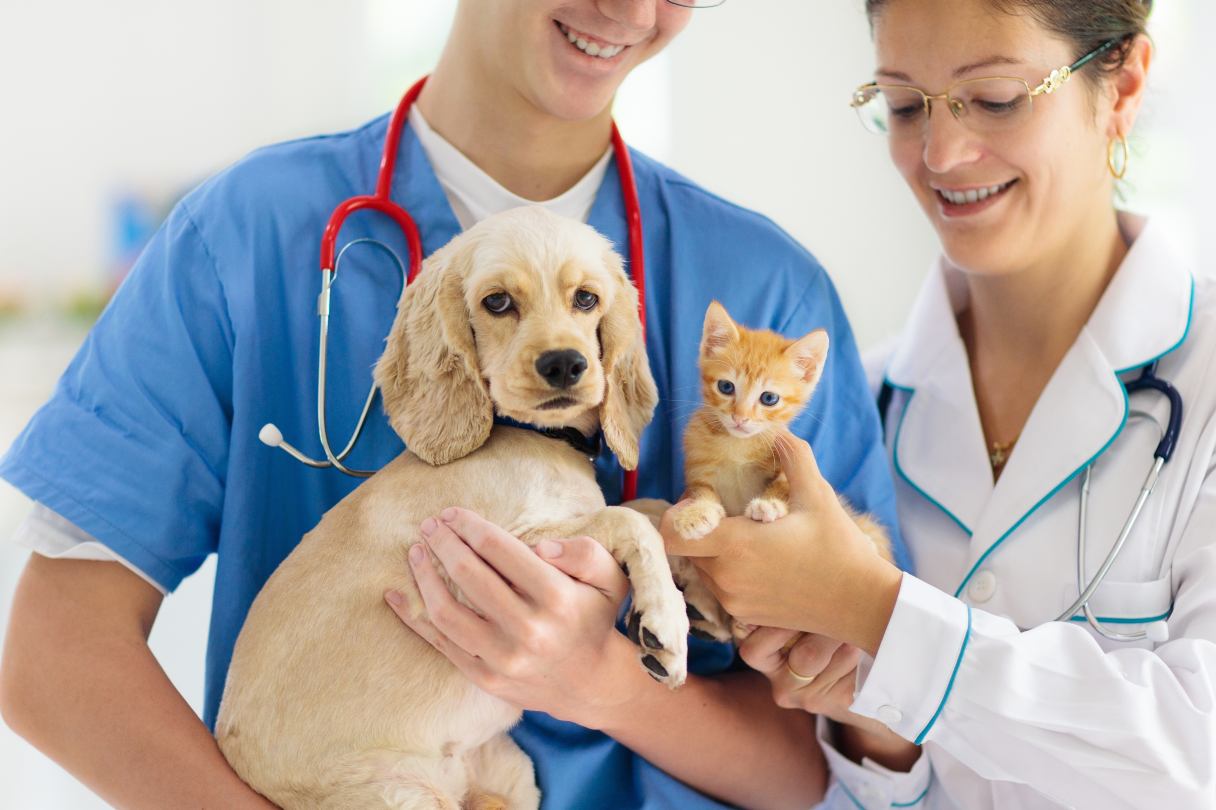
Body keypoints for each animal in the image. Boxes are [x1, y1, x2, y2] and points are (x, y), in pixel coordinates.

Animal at [214, 207, 700, 807]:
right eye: (498, 302)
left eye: (586, 299)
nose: (565, 364)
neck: (537, 439)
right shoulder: (497, 551)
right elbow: (626, 516)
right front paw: (666, 622)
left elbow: (652, 507)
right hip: (398, 794)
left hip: (511, 776)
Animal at [671, 297, 890, 561]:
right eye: (726, 387)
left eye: (769, 398)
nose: (740, 418)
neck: (738, 446)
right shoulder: (698, 468)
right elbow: (702, 491)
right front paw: (697, 513)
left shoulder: (785, 466)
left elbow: (782, 485)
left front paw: (769, 504)